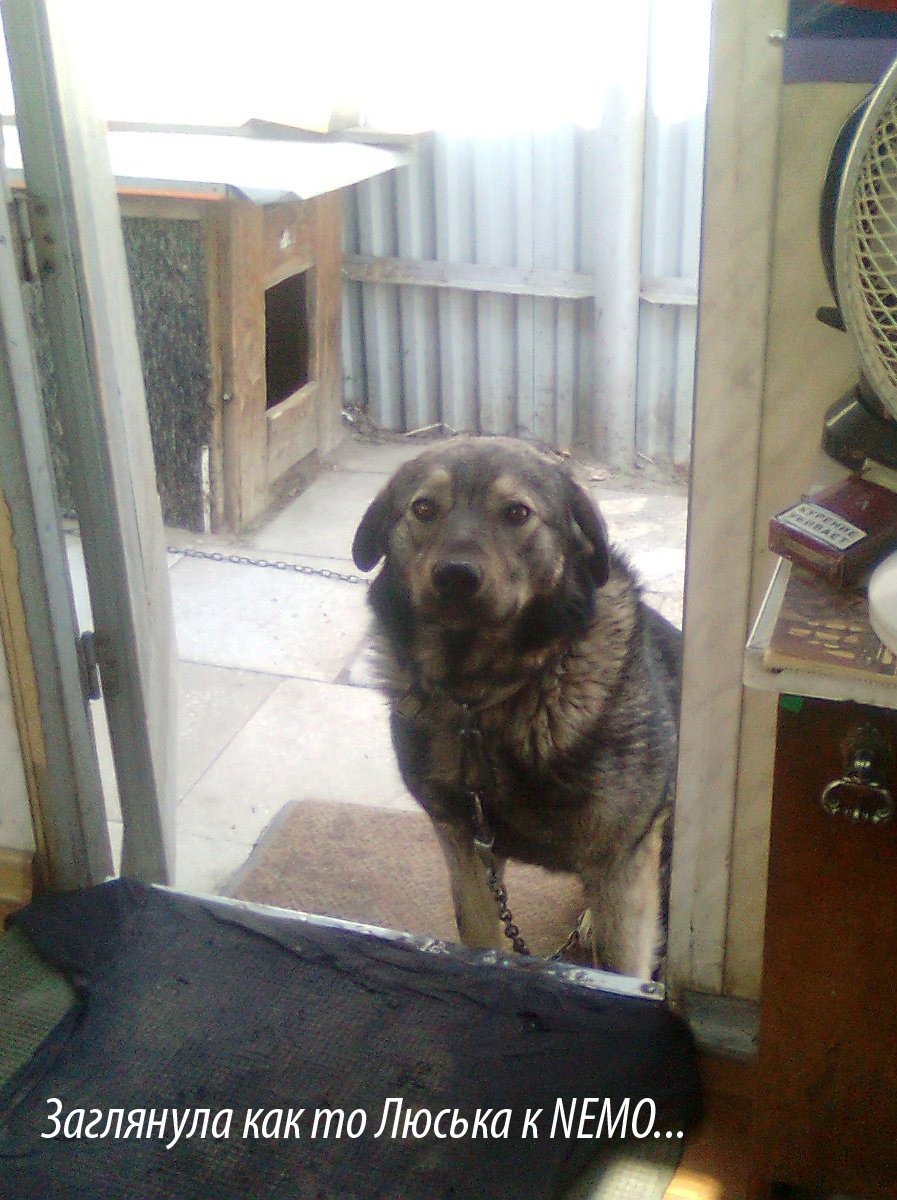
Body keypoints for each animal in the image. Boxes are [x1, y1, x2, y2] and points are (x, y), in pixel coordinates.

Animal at [351, 436, 681, 978]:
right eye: (423, 509)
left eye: (516, 513)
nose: (455, 577)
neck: (483, 697)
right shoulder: (466, 847)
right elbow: (482, 938)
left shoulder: (623, 862)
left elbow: (620, 966)